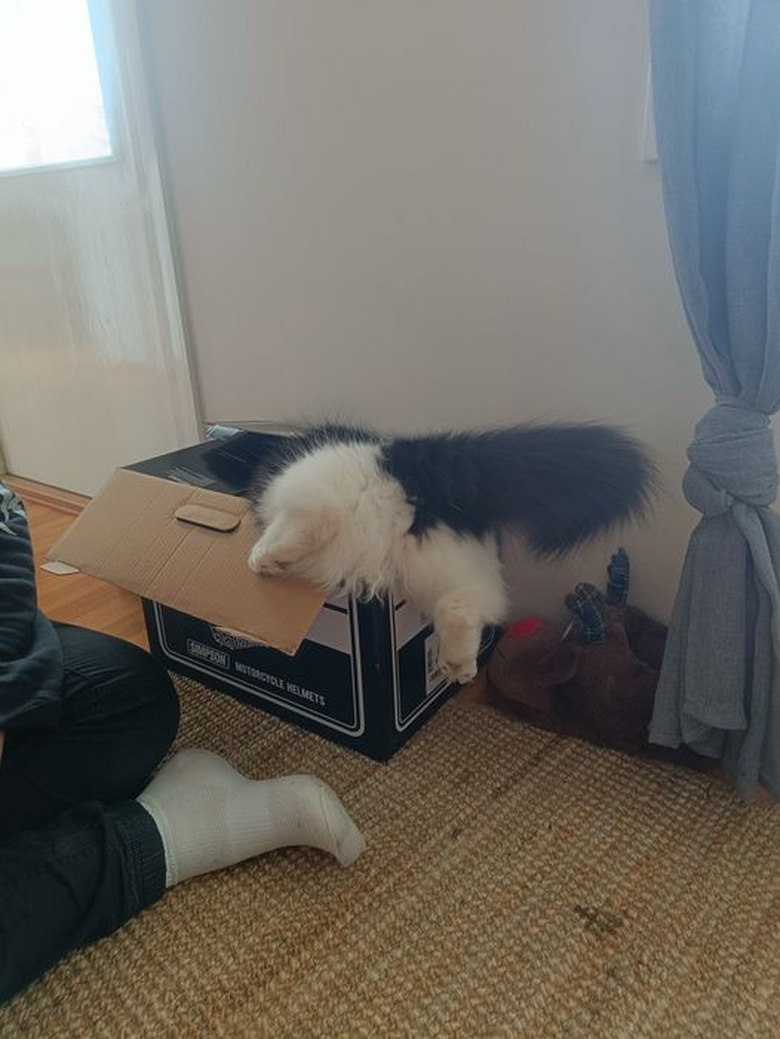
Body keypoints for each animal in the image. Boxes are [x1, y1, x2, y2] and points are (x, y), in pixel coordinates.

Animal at [247, 421, 656, 681]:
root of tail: (417, 462)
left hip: (316, 492)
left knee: (307, 523)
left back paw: (264, 558)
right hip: (452, 563)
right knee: (464, 608)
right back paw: (458, 666)